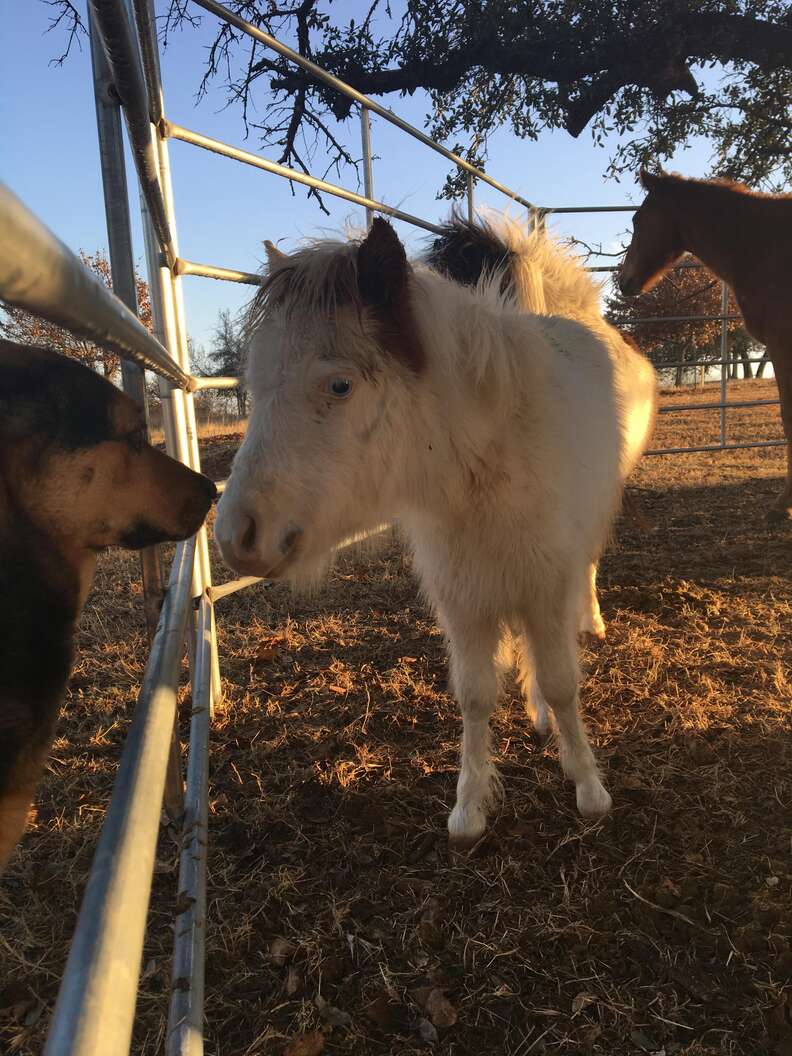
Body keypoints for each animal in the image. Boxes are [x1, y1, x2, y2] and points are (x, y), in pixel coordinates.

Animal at [215, 218, 658, 844]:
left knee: (586, 574)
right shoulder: (464, 595)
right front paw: (470, 807)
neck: (489, 455)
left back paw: (586, 628)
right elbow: (475, 695)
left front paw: (588, 787)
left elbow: (561, 681)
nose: (236, 536)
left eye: (340, 386)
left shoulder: (545, 584)